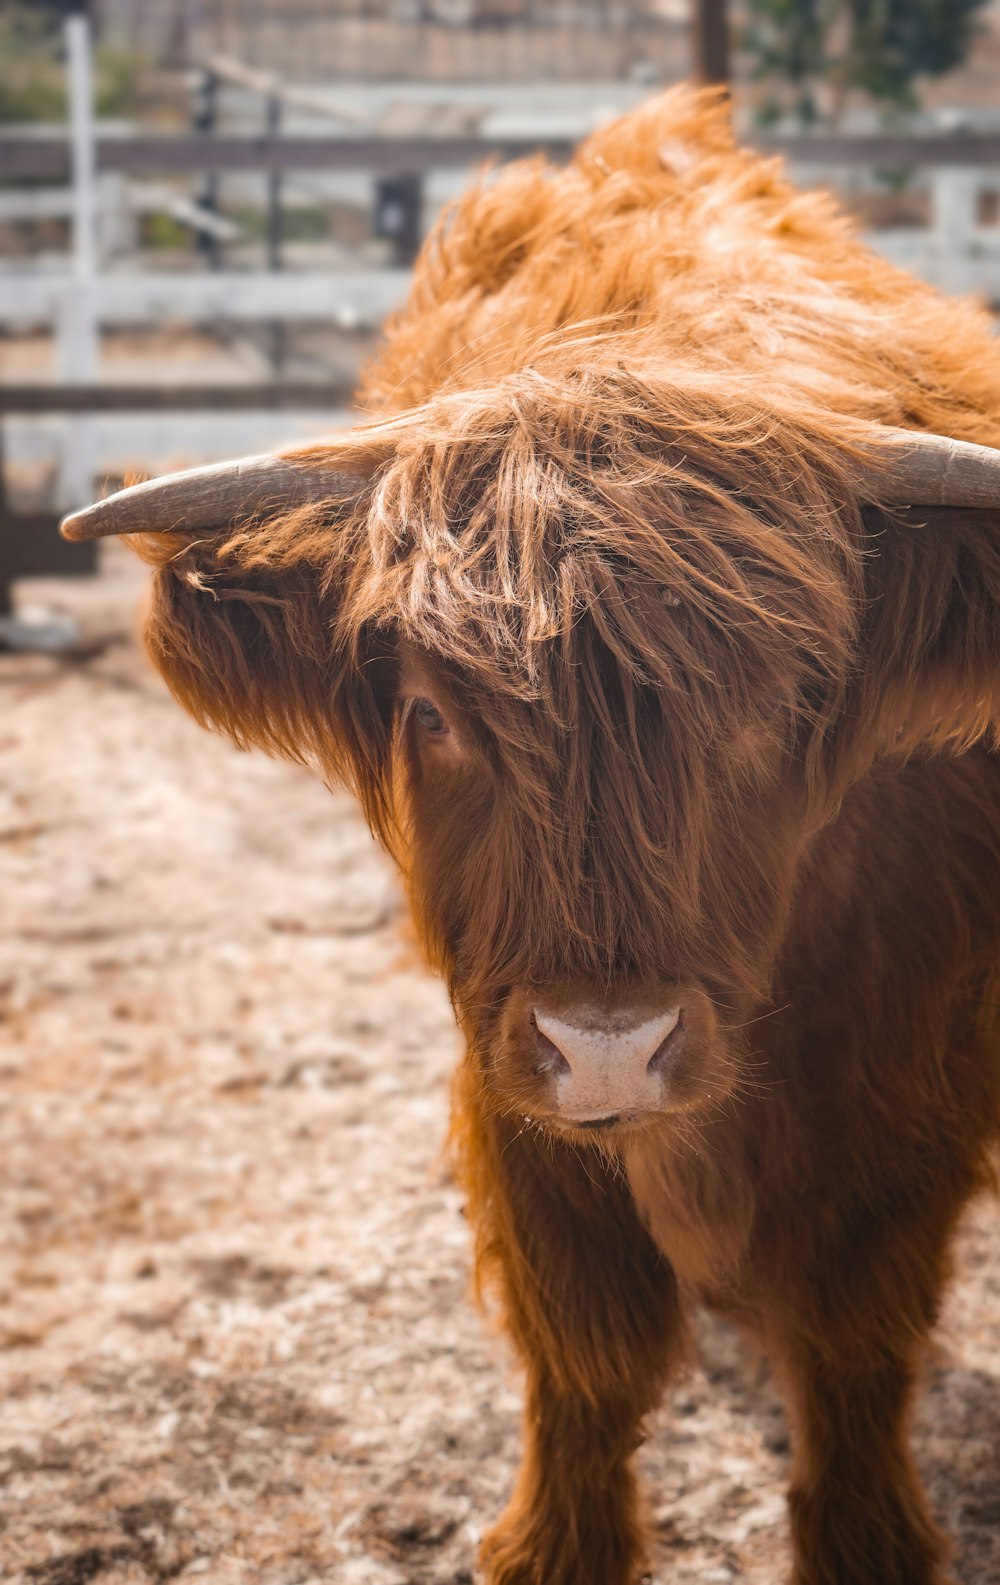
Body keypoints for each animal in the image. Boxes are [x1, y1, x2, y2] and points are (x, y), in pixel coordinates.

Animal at [62, 92, 1000, 1585]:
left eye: (784, 708)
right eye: (434, 714)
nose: (610, 1042)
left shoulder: (917, 1075)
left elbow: (856, 1341)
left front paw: (868, 1546)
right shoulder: (510, 1068)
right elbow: (588, 1348)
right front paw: (557, 1545)